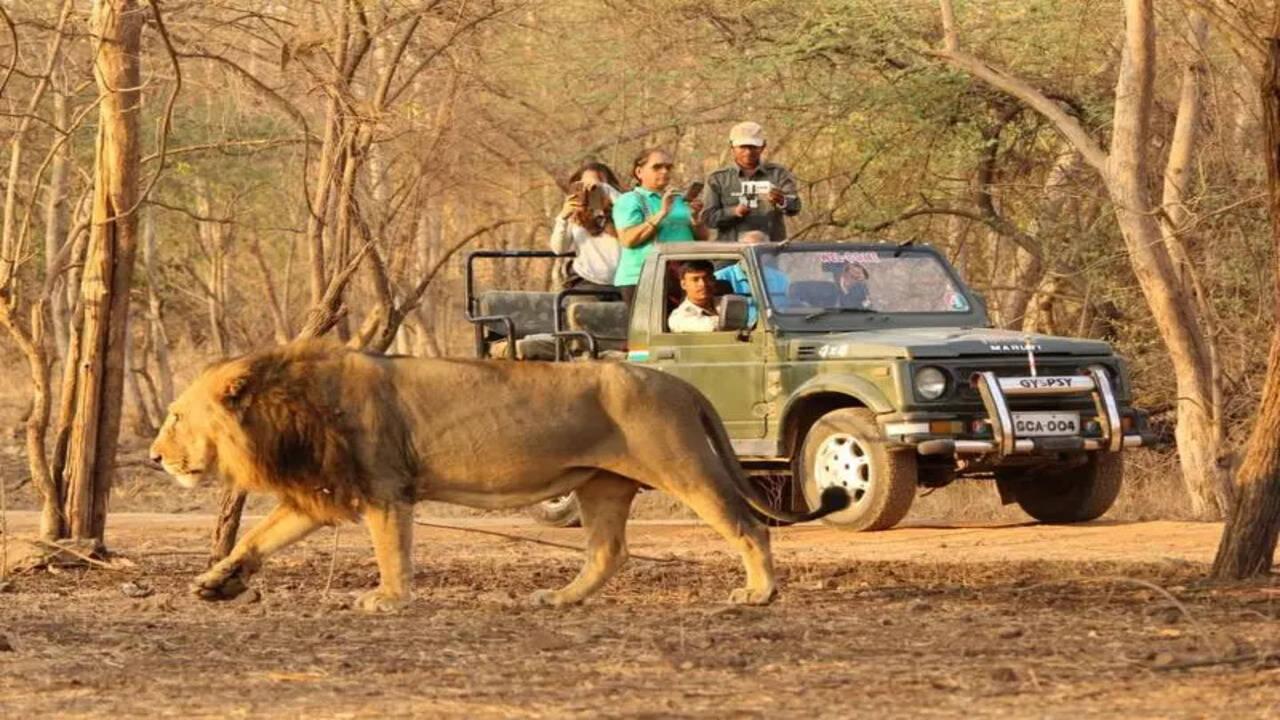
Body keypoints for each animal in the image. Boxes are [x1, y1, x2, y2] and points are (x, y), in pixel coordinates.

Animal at [150, 340, 848, 612]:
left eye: (176, 415)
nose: (155, 457)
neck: (286, 404)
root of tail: (676, 382)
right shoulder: (321, 494)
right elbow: (255, 538)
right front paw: (215, 582)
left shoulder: (384, 487)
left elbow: (391, 550)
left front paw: (388, 599)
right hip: (600, 484)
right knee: (608, 552)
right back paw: (560, 597)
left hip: (683, 466)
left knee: (749, 528)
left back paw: (758, 593)